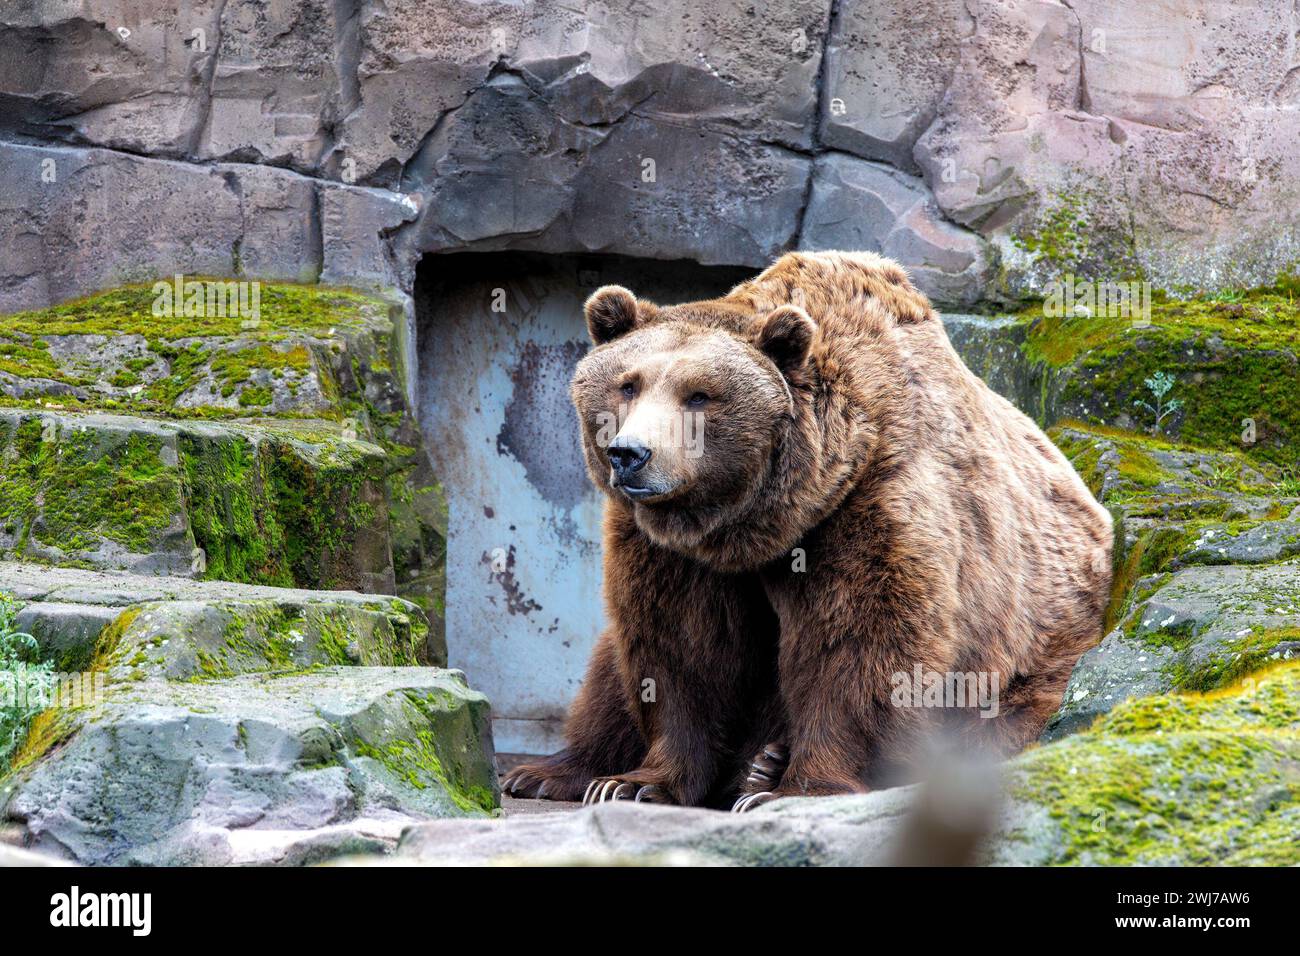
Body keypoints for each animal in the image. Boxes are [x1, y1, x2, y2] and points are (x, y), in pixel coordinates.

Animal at [501, 251, 1112, 811]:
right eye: (628, 384)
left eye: (700, 394)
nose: (631, 455)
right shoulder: (669, 548)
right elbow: (679, 648)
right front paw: (635, 782)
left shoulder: (866, 502)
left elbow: (855, 644)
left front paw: (797, 789)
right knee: (607, 674)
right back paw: (548, 772)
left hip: (1038, 652)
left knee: (997, 727)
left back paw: (765, 768)